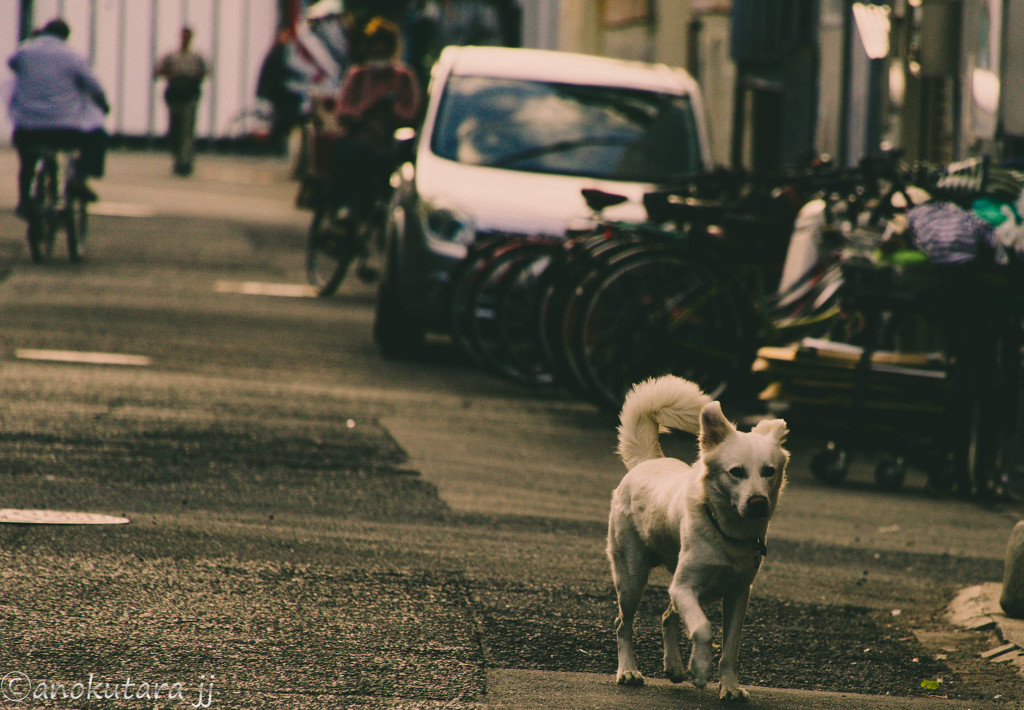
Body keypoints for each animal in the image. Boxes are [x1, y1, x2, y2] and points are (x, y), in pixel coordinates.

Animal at [606, 372, 790, 700]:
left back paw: (674, 667)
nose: (758, 503)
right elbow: (703, 629)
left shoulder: (738, 594)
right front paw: (701, 670)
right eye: (736, 472)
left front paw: (729, 687)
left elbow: (730, 648)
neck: (726, 531)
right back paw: (628, 671)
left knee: (667, 616)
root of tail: (647, 461)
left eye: (769, 471)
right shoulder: (684, 587)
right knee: (622, 624)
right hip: (631, 577)